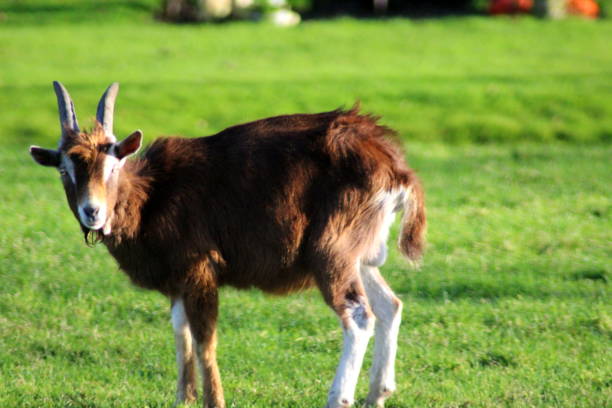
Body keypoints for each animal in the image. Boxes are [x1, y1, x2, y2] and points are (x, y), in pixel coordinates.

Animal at [29, 82, 426, 408]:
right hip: (361, 253)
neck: (153, 196)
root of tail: (393, 167)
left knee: (358, 315)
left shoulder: (199, 266)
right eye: (64, 170)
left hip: (333, 249)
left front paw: (213, 400)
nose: (92, 212)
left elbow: (205, 337)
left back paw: (339, 397)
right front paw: (183, 398)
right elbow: (181, 331)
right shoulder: (178, 279)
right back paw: (377, 393)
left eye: (113, 165)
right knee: (390, 305)